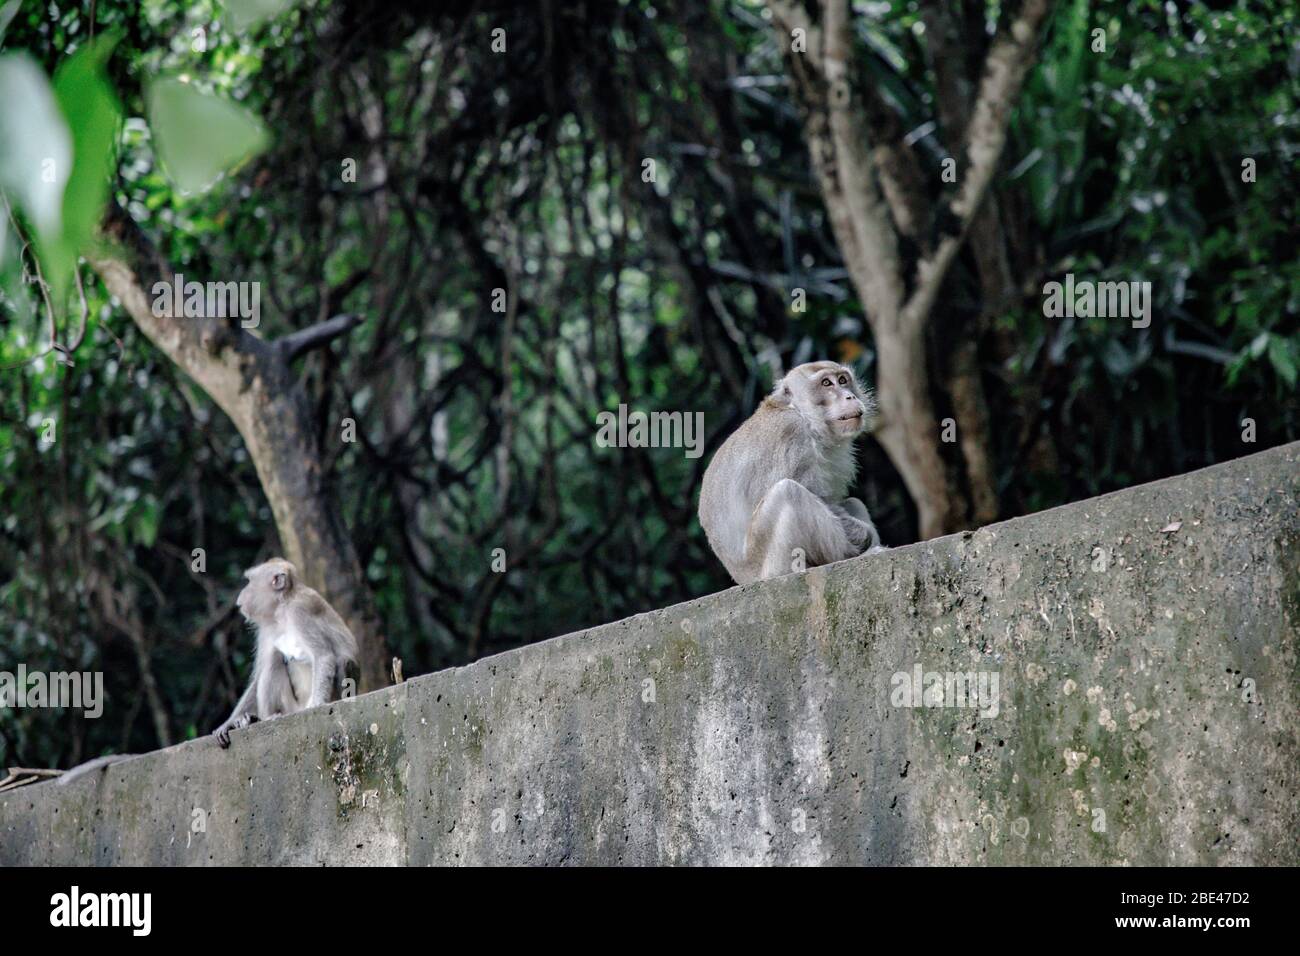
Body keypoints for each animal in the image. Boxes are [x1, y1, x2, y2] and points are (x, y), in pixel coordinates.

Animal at [211, 556, 358, 749]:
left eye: (249, 581)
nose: (242, 593)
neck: (282, 608)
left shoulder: (299, 611)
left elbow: (323, 656)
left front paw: (318, 705)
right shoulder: (266, 629)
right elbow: (259, 674)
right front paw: (228, 724)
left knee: (343, 661)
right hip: (290, 707)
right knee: (273, 658)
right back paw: (259, 719)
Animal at [702, 358, 883, 582]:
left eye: (843, 380)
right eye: (826, 383)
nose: (850, 396)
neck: (801, 413)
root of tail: (742, 578)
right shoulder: (792, 434)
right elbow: (818, 498)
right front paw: (861, 535)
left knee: (852, 502)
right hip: (769, 564)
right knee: (788, 491)